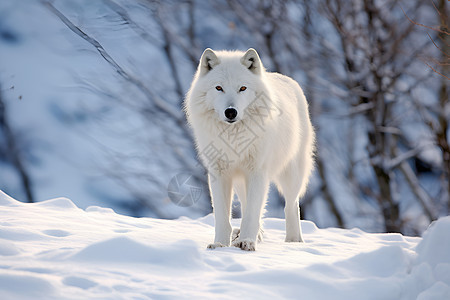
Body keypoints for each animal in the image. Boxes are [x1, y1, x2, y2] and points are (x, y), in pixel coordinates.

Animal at [185, 48, 314, 251]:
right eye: (219, 88)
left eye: (243, 88)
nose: (231, 112)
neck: (234, 138)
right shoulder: (219, 173)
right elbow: (223, 216)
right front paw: (220, 244)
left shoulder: (258, 172)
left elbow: (254, 212)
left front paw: (247, 241)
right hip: (240, 180)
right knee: (247, 205)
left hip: (291, 173)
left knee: (291, 205)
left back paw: (294, 241)